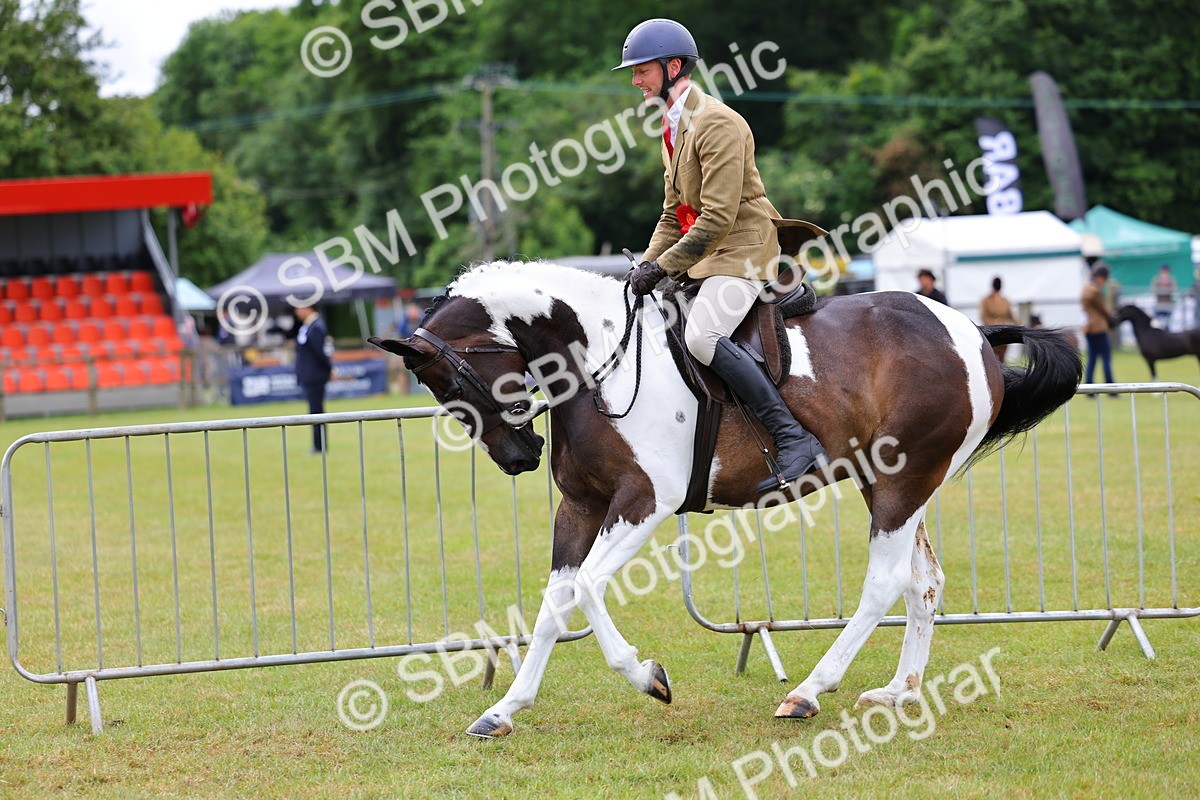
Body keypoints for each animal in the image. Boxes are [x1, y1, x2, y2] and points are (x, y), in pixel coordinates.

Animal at [369, 260, 1081, 738]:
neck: (597, 360)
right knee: (924, 583)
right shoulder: (581, 505)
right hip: (895, 483)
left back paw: (808, 693)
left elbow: (590, 588)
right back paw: (898, 692)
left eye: (448, 382)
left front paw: (647, 676)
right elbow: (554, 603)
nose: (519, 457)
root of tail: (972, 332)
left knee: (883, 584)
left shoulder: (643, 501)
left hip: (902, 485)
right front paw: (503, 710)